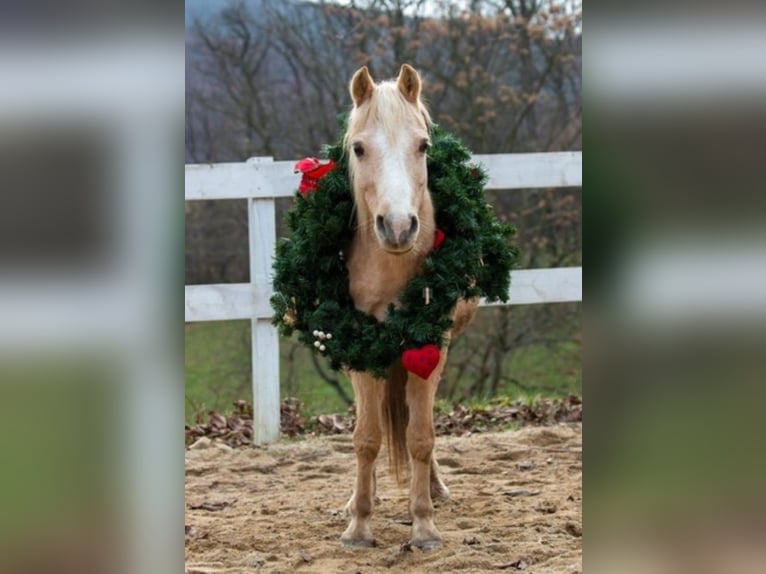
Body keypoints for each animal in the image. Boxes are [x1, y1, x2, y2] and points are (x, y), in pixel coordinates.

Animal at [344, 65, 476, 552]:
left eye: (423, 145)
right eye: (358, 147)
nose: (399, 227)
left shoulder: (432, 346)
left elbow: (420, 437)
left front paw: (423, 524)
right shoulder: (359, 347)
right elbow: (366, 438)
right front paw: (359, 524)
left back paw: (434, 489)